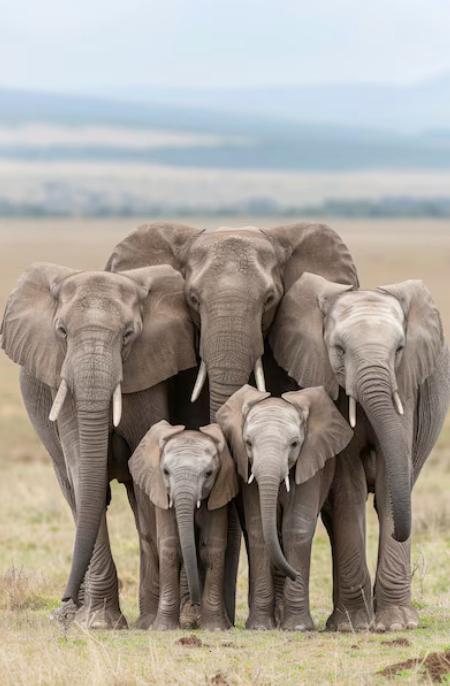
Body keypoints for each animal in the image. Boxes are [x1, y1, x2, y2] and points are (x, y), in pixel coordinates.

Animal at [0, 262, 197, 627]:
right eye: (62, 332)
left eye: (129, 335)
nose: (63, 597)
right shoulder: (61, 384)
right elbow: (82, 473)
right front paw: (99, 622)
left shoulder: (149, 374)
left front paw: (151, 621)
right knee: (72, 493)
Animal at [129, 420, 238, 630]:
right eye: (165, 472)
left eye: (209, 473)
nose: (196, 603)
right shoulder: (161, 493)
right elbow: (171, 547)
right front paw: (163, 629)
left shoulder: (219, 491)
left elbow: (212, 548)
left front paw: (215, 628)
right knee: (149, 542)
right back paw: (147, 623)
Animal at [216, 384, 353, 630]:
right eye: (248, 443)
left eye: (295, 444)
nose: (295, 574)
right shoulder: (248, 469)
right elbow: (258, 529)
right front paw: (260, 627)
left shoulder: (311, 462)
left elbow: (297, 527)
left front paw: (298, 627)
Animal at [271, 272, 450, 631]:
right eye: (339, 350)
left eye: (399, 349)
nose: (403, 532)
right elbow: (349, 487)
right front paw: (352, 624)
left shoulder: (405, 388)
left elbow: (389, 485)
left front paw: (396, 624)